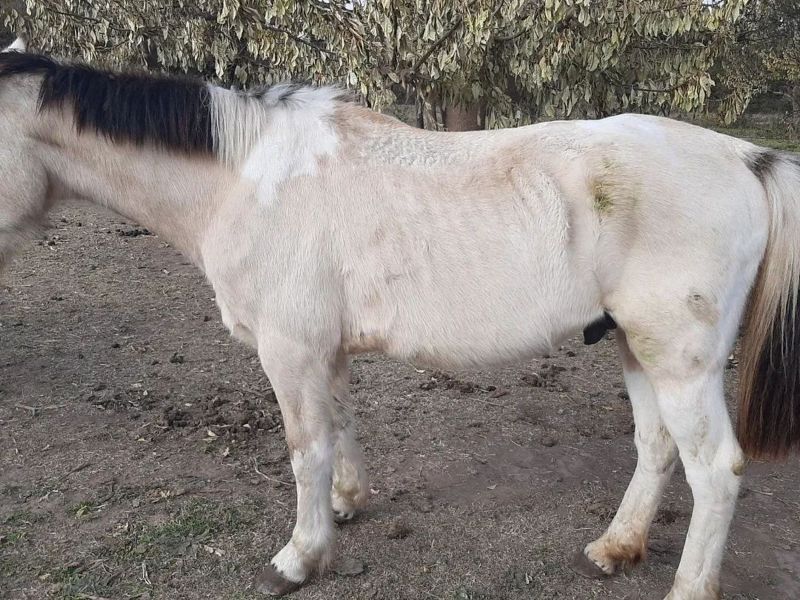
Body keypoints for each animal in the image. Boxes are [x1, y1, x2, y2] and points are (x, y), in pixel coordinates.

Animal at [0, 38, 797, 599]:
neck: (247, 180)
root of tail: (744, 156)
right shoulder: (324, 351)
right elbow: (340, 427)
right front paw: (347, 505)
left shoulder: (289, 352)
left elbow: (305, 449)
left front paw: (299, 558)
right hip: (636, 346)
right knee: (656, 447)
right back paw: (616, 547)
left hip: (681, 364)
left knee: (714, 472)